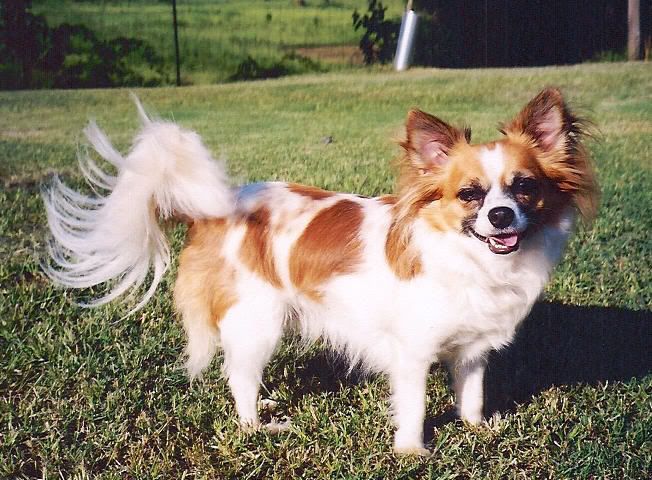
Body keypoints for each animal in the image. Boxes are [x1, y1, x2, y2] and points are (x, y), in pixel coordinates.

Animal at [43, 89, 600, 454]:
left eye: (525, 187)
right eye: (470, 195)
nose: (501, 216)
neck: (470, 257)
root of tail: (212, 209)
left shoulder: (471, 350)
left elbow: (472, 396)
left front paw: (478, 429)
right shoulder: (413, 353)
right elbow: (415, 407)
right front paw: (412, 452)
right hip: (258, 320)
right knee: (237, 378)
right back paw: (257, 427)